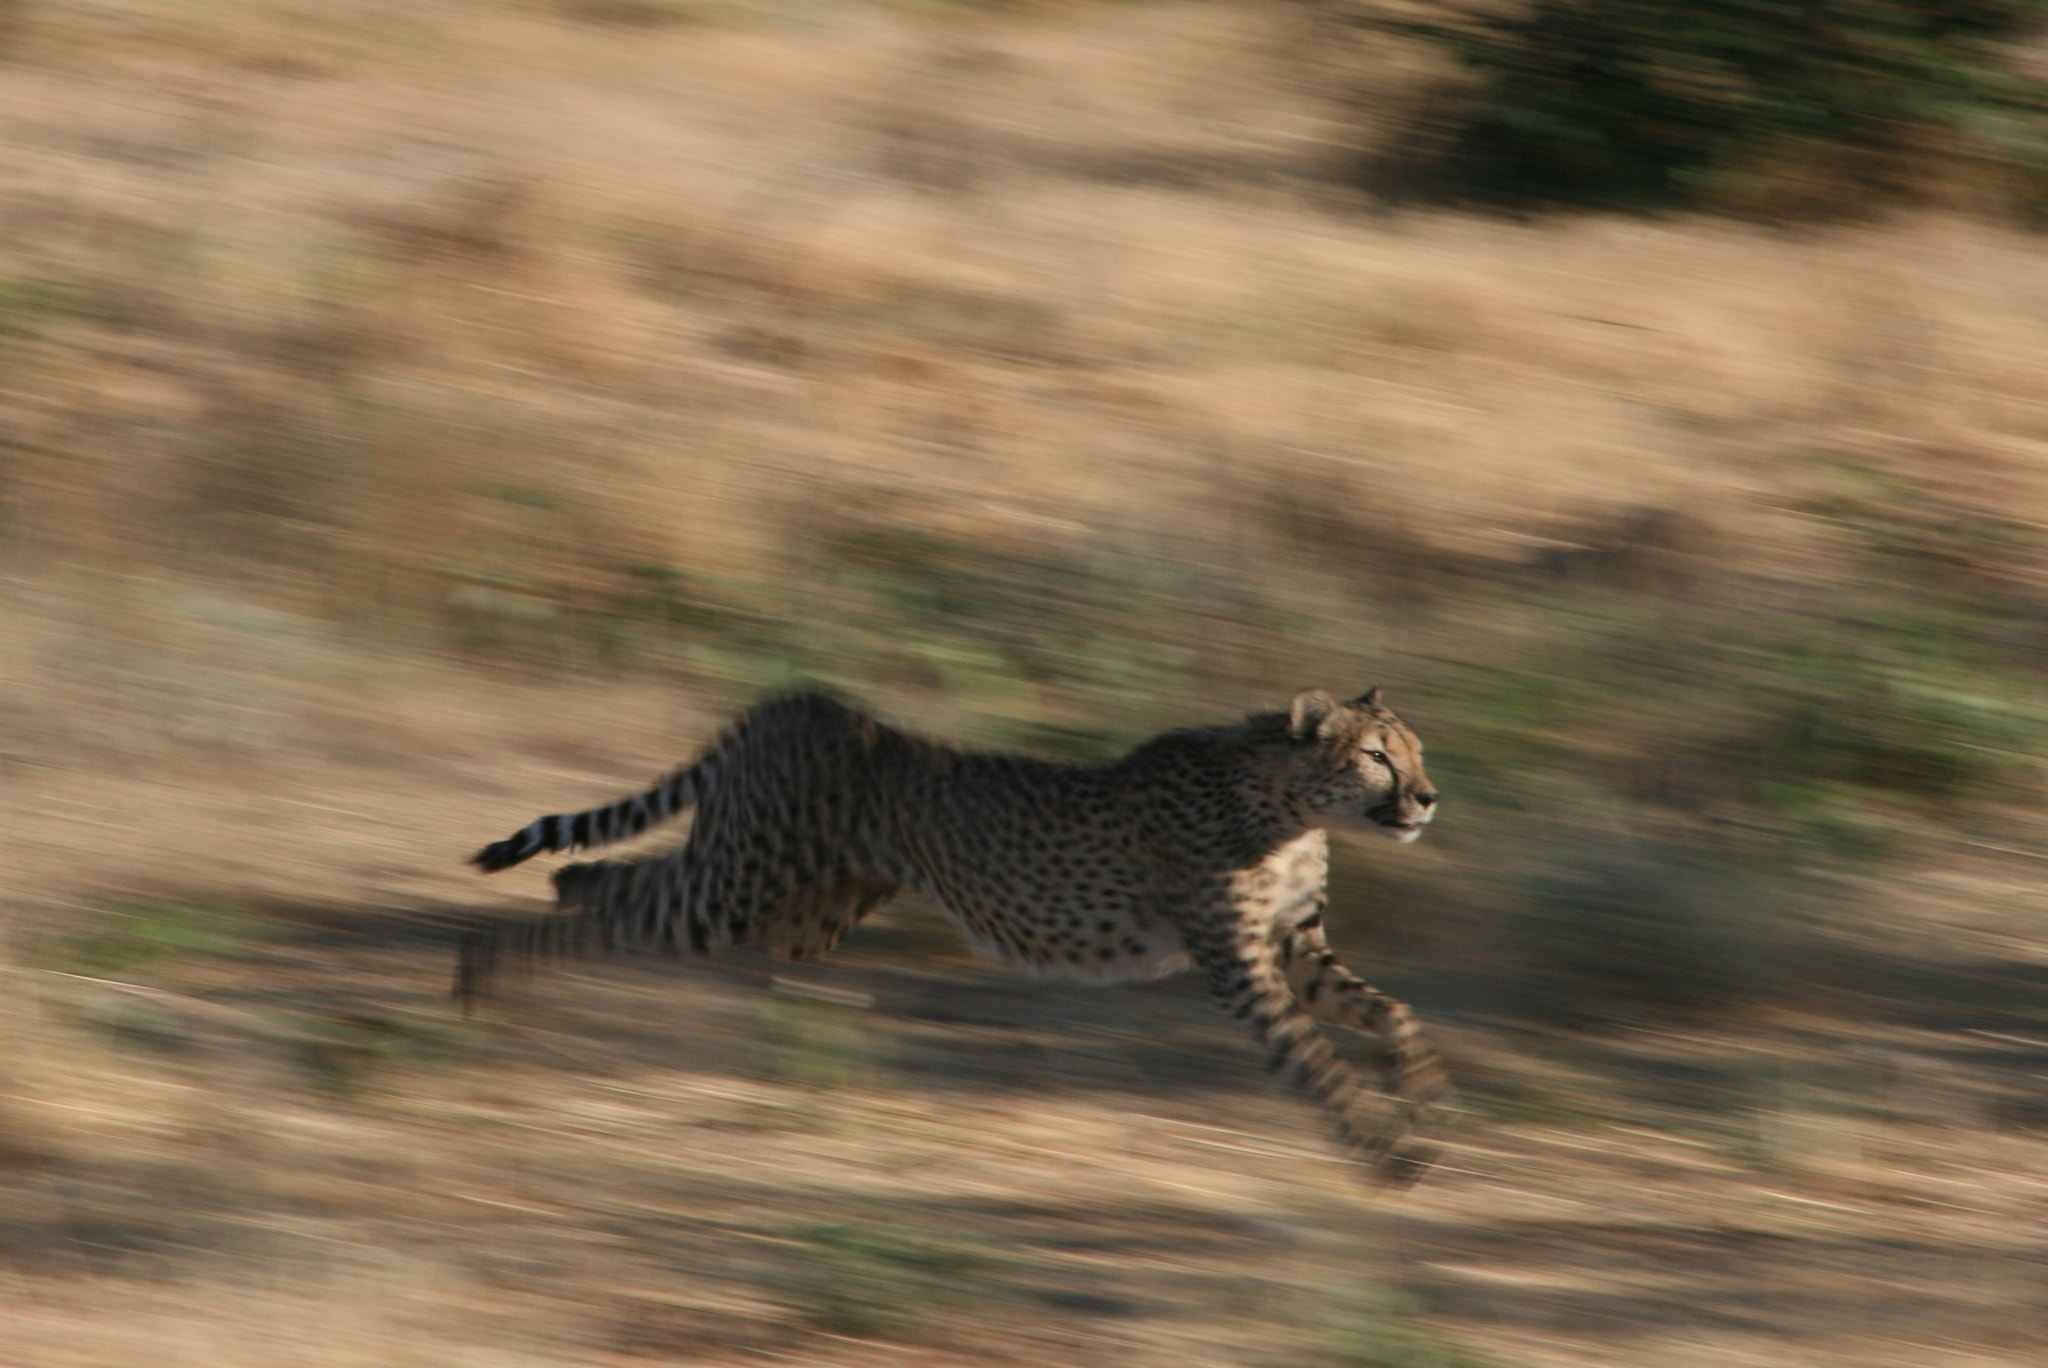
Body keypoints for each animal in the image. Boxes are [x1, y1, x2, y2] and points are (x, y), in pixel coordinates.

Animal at [459, 686, 1448, 1184]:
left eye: (1416, 752)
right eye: (1377, 756)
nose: (1431, 798)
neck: (1288, 804)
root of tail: (800, 699)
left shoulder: (1296, 951)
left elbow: (1397, 1017)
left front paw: (1423, 1114)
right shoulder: (1242, 967)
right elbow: (1312, 1061)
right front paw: (1384, 1151)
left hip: (793, 911)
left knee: (620, 881)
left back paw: (556, 901)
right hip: (741, 889)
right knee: (626, 906)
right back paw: (486, 976)